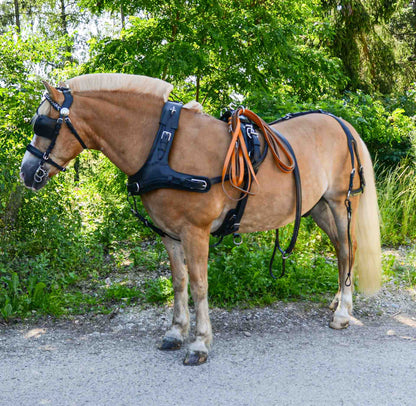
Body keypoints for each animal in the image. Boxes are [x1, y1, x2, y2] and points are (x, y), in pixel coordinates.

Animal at [21, 72, 382, 364]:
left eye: (45, 125)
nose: (26, 173)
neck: (162, 146)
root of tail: (342, 124)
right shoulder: (169, 233)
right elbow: (179, 282)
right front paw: (176, 332)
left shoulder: (195, 231)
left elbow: (199, 284)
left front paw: (199, 343)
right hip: (317, 206)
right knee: (343, 251)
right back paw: (338, 300)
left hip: (340, 202)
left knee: (347, 249)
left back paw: (342, 312)